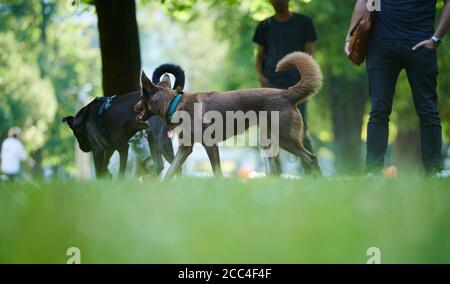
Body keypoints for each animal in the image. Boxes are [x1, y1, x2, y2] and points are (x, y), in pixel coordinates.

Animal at [135, 52, 322, 179]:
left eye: (140, 97)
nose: (134, 108)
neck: (175, 103)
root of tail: (287, 93)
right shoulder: (185, 148)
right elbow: (171, 171)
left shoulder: (210, 145)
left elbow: (217, 172)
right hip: (267, 142)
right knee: (273, 170)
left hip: (284, 138)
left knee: (312, 158)